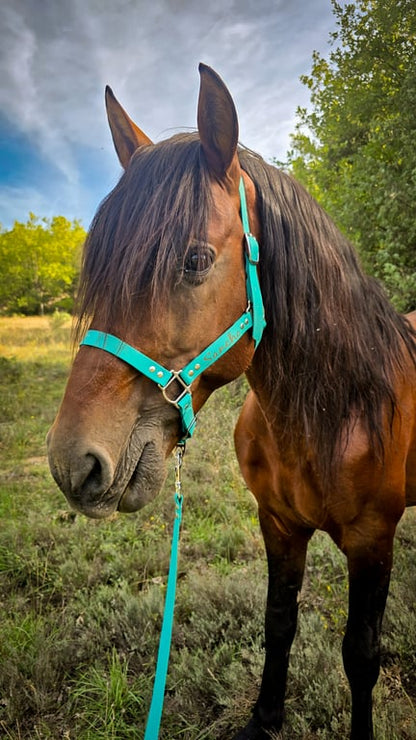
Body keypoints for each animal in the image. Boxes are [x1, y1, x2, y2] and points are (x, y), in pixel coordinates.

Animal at [47, 63, 416, 740]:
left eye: (195, 260)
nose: (72, 464)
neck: (329, 416)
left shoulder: (374, 540)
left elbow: (361, 655)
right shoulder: (278, 525)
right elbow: (279, 623)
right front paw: (264, 718)